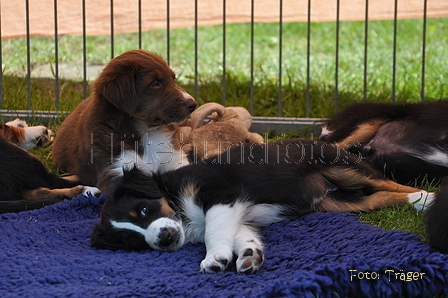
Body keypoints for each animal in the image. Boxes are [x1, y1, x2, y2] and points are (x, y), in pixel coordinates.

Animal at [52, 50, 196, 193]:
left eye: (173, 79)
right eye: (155, 84)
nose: (193, 104)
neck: (147, 132)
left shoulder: (175, 160)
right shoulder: (114, 168)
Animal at [90, 140, 430, 274]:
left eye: (144, 210)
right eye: (132, 241)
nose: (164, 239)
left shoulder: (221, 195)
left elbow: (215, 231)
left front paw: (214, 258)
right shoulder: (238, 216)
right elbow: (242, 236)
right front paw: (249, 256)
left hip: (341, 165)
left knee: (387, 183)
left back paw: (426, 198)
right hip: (337, 204)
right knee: (379, 196)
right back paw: (417, 201)